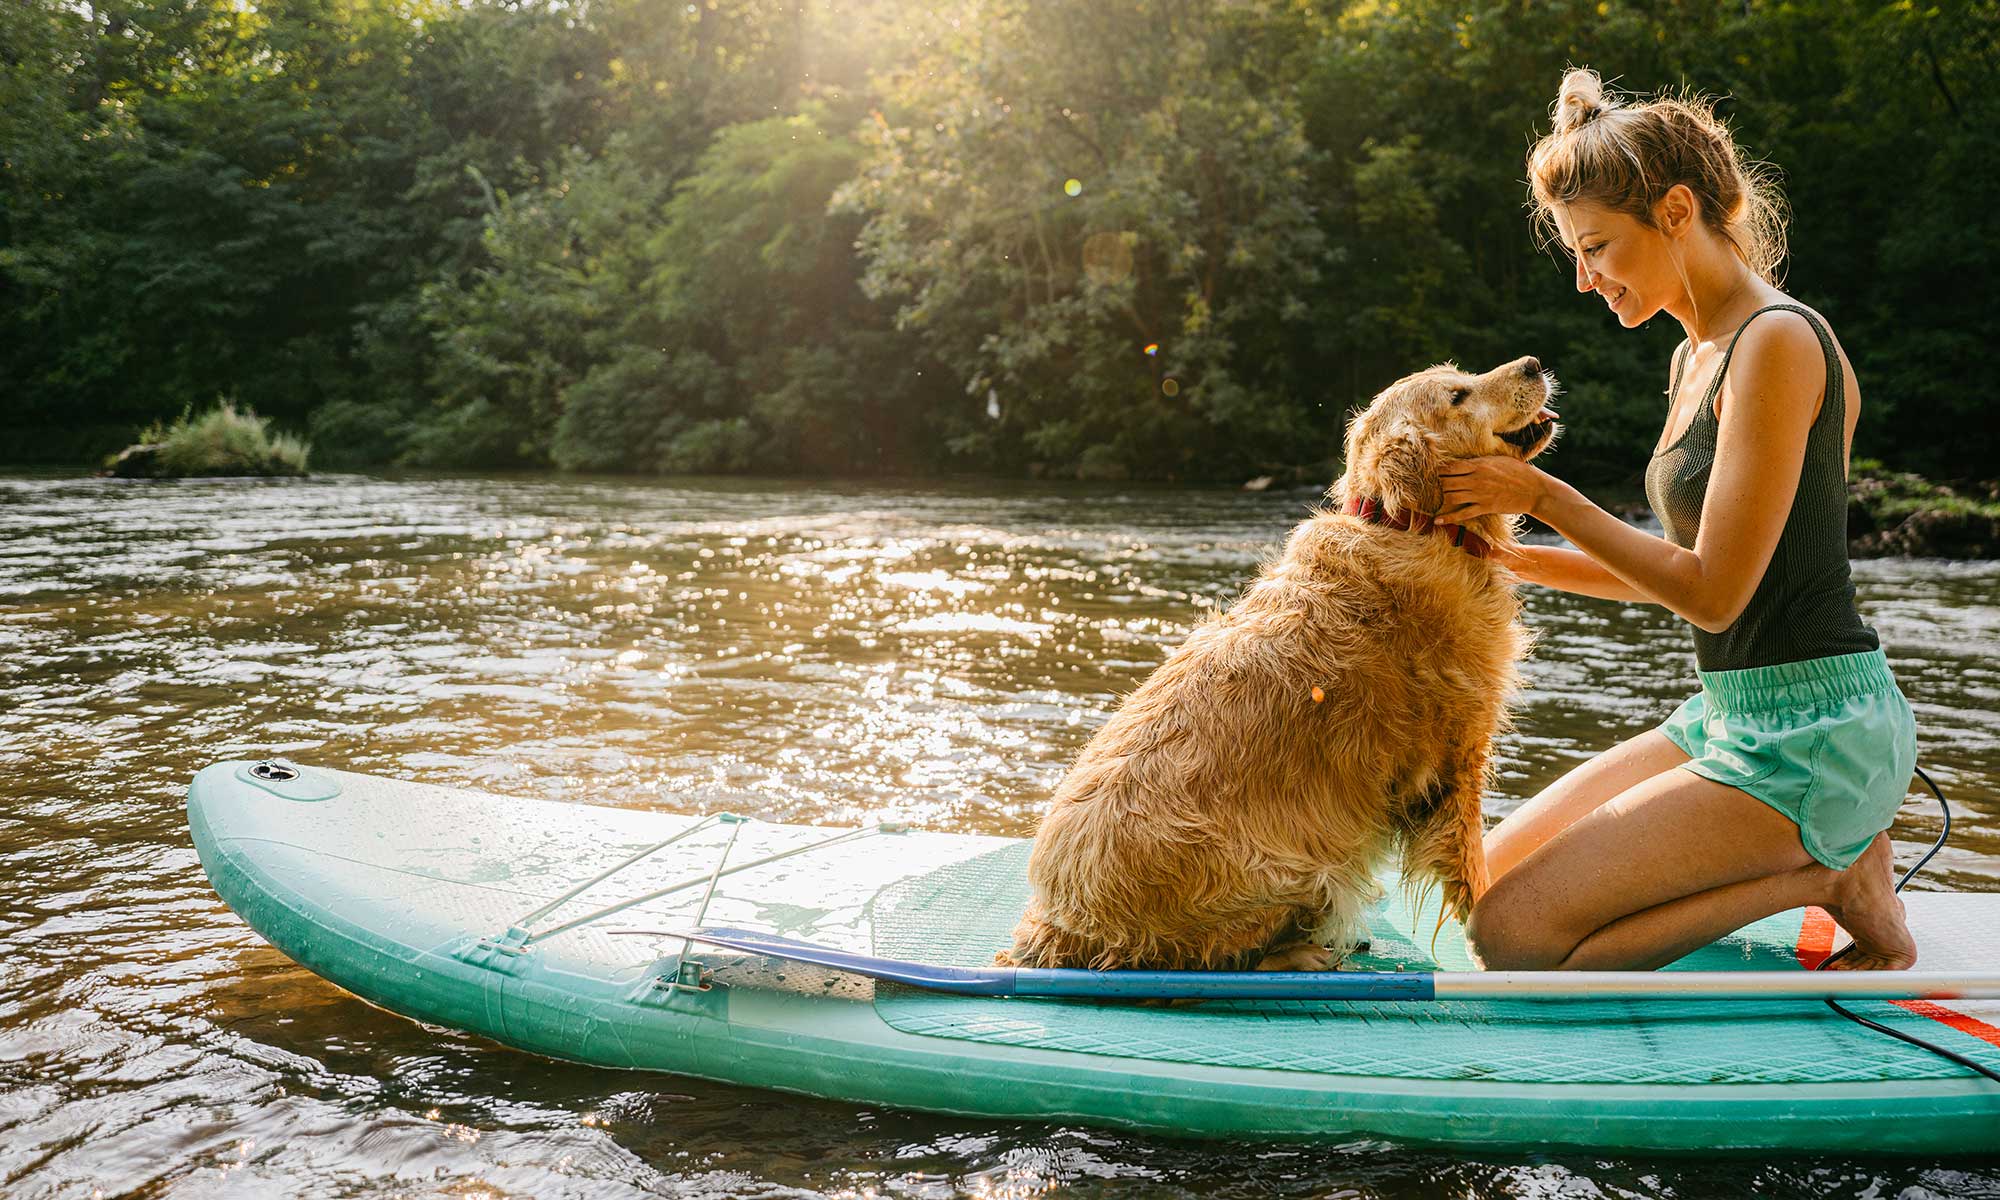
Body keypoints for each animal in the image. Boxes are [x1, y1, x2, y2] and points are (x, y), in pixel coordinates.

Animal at [1008, 358, 1552, 976]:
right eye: (1458, 395)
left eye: (1462, 374)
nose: (1533, 364)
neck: (1411, 523)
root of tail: (1055, 927)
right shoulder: (1457, 754)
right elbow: (1474, 871)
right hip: (1295, 868)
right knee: (1221, 959)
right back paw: (1306, 951)